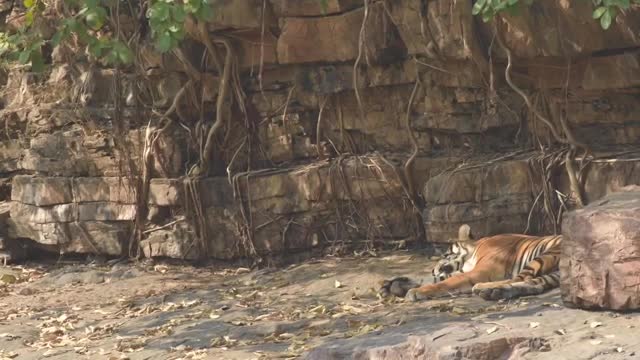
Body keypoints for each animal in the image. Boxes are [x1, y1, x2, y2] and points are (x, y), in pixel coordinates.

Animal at [378, 224, 564, 302]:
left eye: (445, 254)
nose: (433, 269)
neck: (475, 248)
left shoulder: (481, 271)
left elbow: (445, 282)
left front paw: (415, 291)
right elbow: (443, 281)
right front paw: (392, 285)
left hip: (547, 254)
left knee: (521, 278)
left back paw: (484, 288)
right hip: (552, 272)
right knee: (534, 284)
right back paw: (494, 292)